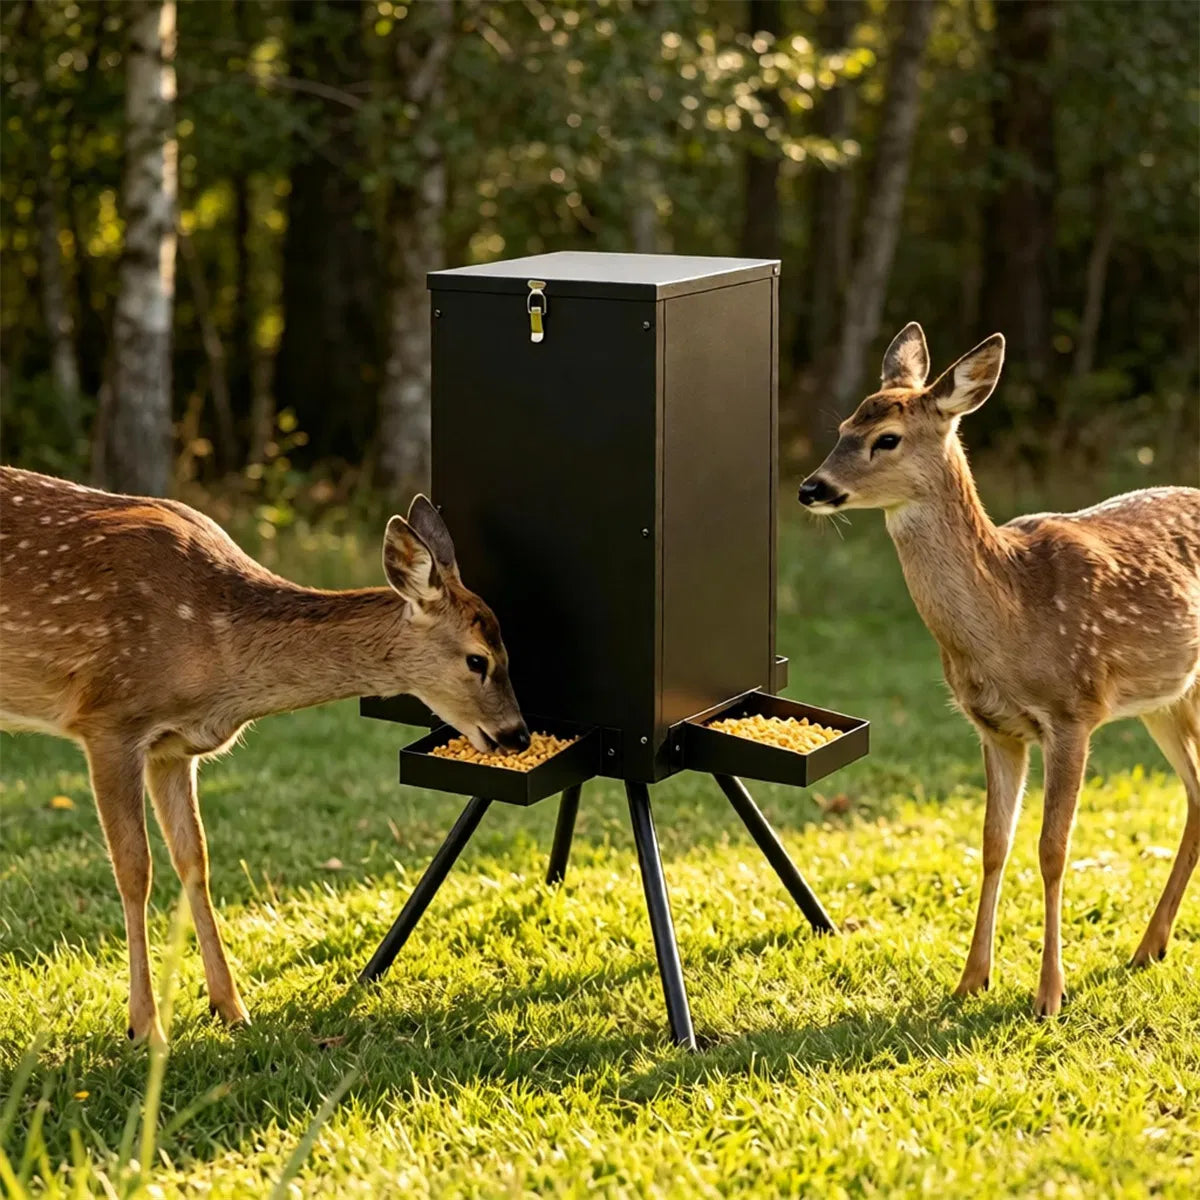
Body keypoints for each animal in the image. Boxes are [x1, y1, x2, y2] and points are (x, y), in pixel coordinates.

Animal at [0, 466, 529, 1043]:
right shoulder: (109, 721)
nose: (518, 734)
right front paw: (145, 1027)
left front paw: (230, 1007)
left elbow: (195, 859)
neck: (215, 659)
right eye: (477, 660)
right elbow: (134, 870)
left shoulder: (171, 749)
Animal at [798, 324, 1200, 1017]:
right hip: (1166, 699)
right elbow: (993, 844)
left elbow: (1053, 849)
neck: (1011, 619)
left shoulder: (1074, 713)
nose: (811, 488)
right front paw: (971, 979)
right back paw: (1150, 945)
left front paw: (1049, 994)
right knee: (1197, 792)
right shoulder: (995, 728)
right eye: (845, 425)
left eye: (886, 438)